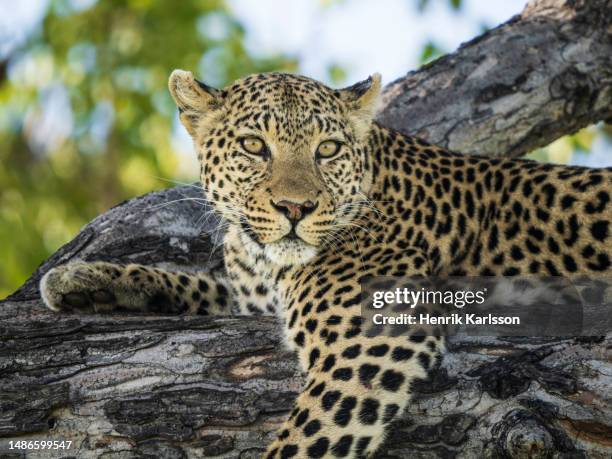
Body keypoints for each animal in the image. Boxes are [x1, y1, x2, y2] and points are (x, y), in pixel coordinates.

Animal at [40, 70, 608, 458]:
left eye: (328, 149)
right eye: (254, 145)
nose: (296, 208)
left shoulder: (373, 335)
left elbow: (306, 439)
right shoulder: (251, 296)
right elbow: (196, 284)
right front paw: (82, 279)